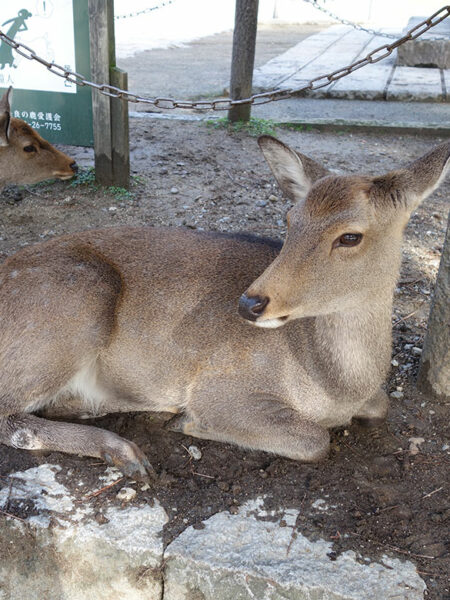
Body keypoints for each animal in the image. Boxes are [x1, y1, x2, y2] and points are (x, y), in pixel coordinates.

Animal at [0, 135, 446, 478]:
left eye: (350, 236)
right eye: (290, 219)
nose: (250, 303)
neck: (339, 387)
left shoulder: (371, 400)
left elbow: (382, 407)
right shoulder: (225, 387)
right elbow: (316, 440)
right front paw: (187, 421)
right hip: (76, 303)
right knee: (10, 415)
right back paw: (125, 450)